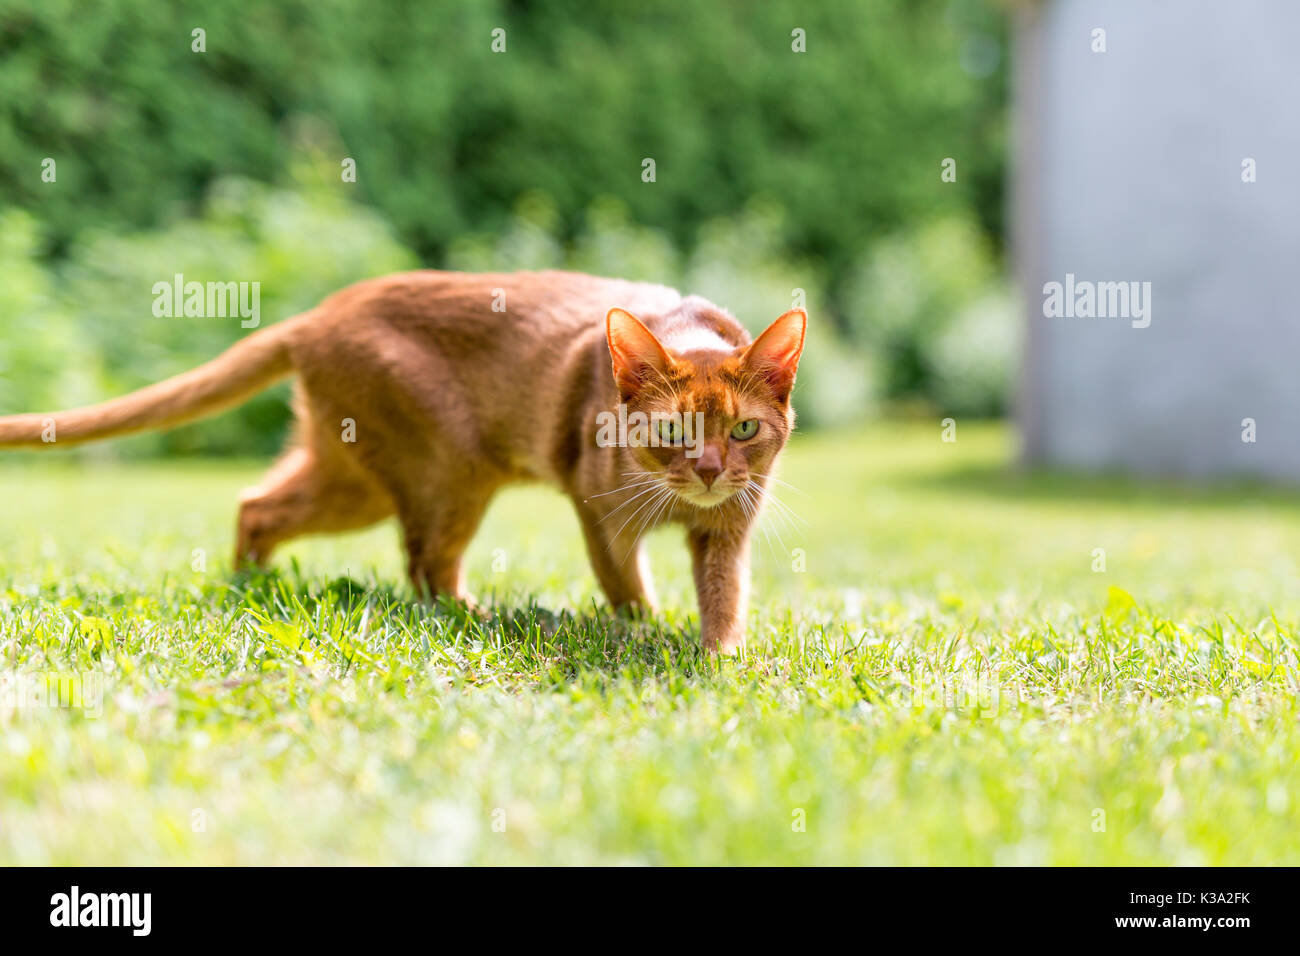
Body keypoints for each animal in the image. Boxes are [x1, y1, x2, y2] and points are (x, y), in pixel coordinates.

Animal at [0, 273, 800, 655]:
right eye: (672, 429)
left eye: (743, 429)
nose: (707, 470)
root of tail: (312, 318)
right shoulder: (595, 509)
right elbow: (627, 589)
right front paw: (646, 633)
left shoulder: (729, 529)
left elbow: (726, 596)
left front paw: (720, 659)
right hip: (446, 472)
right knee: (425, 566)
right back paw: (488, 616)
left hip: (351, 475)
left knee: (258, 503)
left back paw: (251, 585)